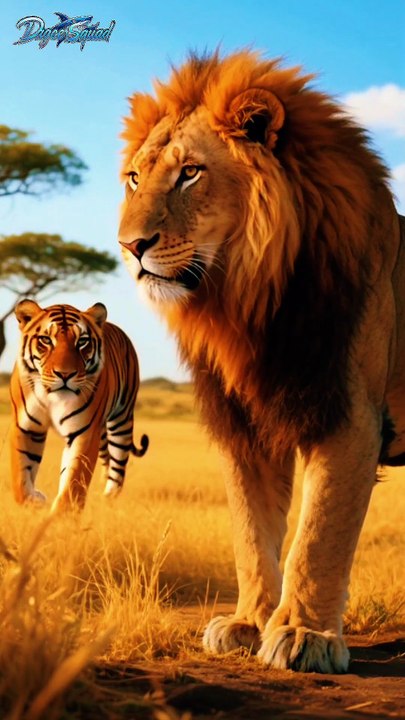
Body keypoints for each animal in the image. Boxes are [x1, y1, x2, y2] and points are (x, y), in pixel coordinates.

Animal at [10, 299, 148, 511]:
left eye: (82, 341)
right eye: (46, 340)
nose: (65, 374)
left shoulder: (84, 433)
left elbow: (73, 481)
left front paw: (62, 516)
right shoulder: (25, 427)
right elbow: (20, 476)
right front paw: (34, 500)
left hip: (121, 421)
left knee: (118, 466)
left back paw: (108, 500)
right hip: (103, 434)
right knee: (107, 460)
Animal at [118, 50, 405, 673]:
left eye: (190, 173)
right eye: (134, 178)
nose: (130, 247)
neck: (248, 300)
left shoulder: (349, 414)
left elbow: (319, 533)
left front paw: (303, 634)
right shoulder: (244, 422)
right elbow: (252, 533)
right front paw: (250, 623)